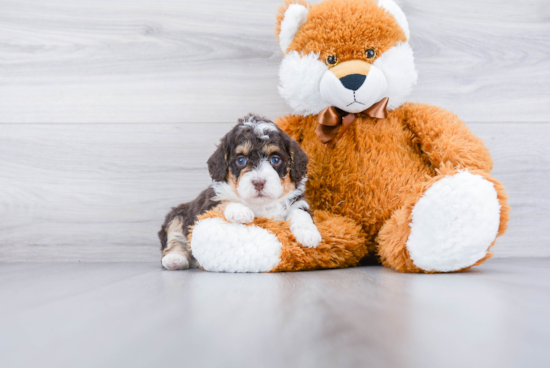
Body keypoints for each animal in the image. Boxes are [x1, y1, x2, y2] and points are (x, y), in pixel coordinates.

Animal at [158, 115, 324, 270]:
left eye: (275, 160)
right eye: (241, 160)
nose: (259, 182)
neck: (261, 204)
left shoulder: (297, 200)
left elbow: (300, 213)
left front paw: (308, 234)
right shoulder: (209, 202)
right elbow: (225, 201)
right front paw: (240, 211)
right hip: (177, 214)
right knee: (174, 238)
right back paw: (175, 259)